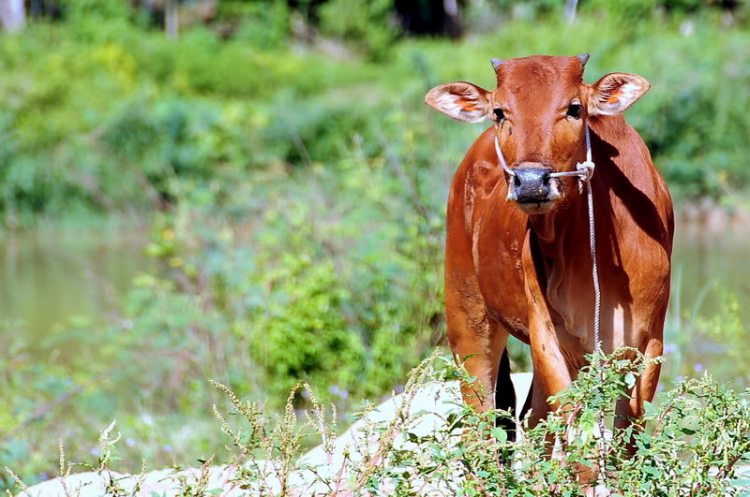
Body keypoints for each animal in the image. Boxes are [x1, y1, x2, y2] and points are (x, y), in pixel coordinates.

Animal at [426, 55, 680, 438]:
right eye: (499, 111)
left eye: (574, 108)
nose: (531, 182)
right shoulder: (549, 338)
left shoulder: (648, 344)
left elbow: (626, 437)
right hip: (467, 318)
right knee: (481, 424)